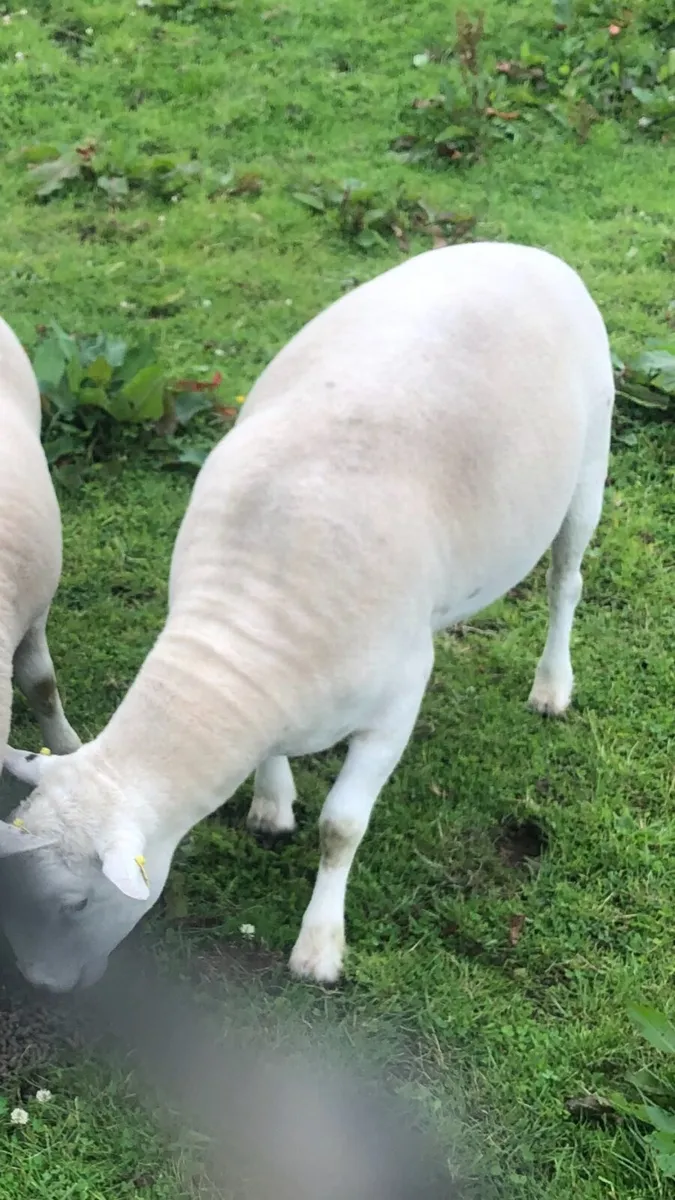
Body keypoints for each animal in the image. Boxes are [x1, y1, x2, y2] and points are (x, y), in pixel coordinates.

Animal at [0, 242, 614, 992]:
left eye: (77, 903)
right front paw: (271, 806)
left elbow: (341, 828)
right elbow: (273, 759)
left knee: (564, 582)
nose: (41, 983)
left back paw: (552, 686)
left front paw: (319, 946)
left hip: (589, 466)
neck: (245, 627)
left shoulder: (389, 716)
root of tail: (525, 250)